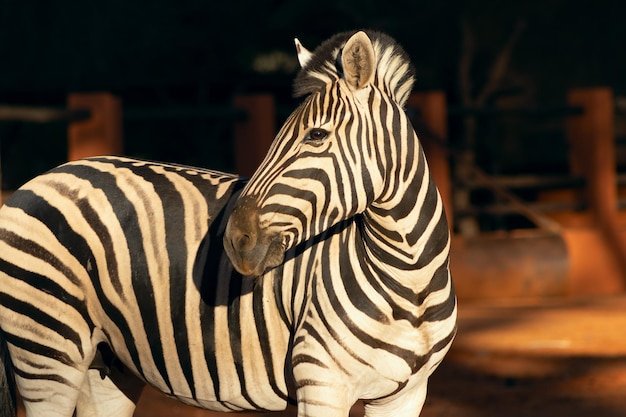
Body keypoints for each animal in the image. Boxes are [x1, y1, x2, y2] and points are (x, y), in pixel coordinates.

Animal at [0, 30, 454, 416]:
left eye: (317, 136)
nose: (236, 241)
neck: (409, 281)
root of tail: (37, 181)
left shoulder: (406, 395)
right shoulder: (321, 384)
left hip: (107, 362)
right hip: (46, 349)